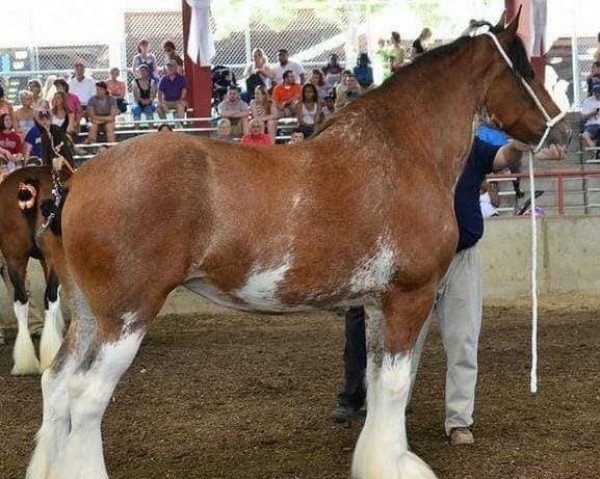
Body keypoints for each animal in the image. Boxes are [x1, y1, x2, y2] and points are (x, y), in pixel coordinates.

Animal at [0, 123, 73, 376]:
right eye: (69, 142)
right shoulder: (53, 257)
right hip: (51, 256)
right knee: (49, 297)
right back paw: (50, 355)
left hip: (13, 256)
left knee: (20, 299)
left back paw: (24, 362)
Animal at [25, 13, 568, 479]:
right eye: (525, 67)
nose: (558, 128)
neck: (403, 149)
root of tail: (76, 179)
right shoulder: (409, 296)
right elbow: (395, 385)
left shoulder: (376, 304)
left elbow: (378, 384)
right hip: (126, 316)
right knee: (85, 395)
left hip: (88, 315)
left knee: (56, 384)